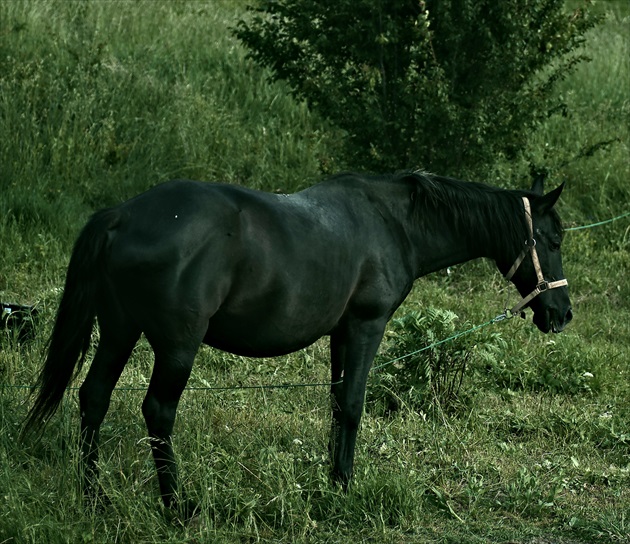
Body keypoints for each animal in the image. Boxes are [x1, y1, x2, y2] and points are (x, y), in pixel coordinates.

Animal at [22, 172, 572, 516]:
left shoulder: (340, 333)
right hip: (176, 348)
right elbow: (354, 403)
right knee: (157, 412)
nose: (562, 313)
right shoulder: (366, 326)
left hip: (119, 330)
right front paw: (345, 486)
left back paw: (96, 498)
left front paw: (331, 478)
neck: (393, 222)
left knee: (93, 398)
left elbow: (336, 403)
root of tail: (123, 215)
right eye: (553, 240)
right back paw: (176, 505)